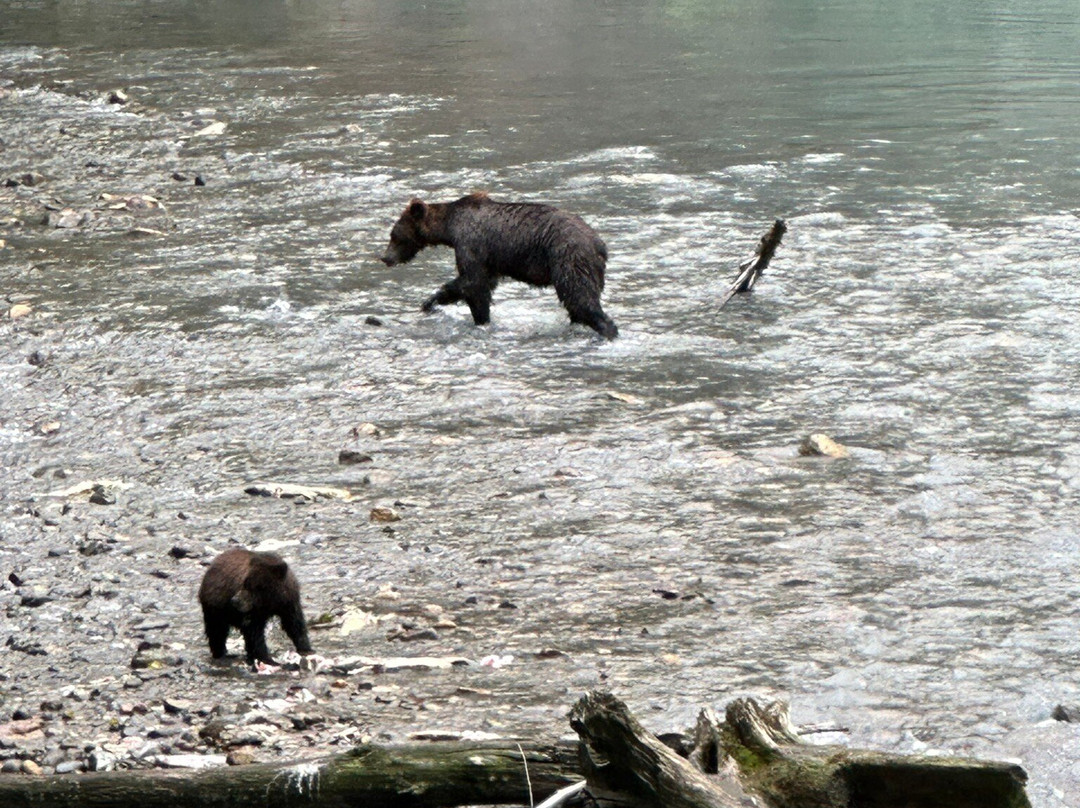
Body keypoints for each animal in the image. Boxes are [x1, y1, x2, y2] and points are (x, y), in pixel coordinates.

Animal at [380, 193, 618, 339]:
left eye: (394, 235)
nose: (385, 258)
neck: (450, 228)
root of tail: (599, 244)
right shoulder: (489, 261)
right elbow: (479, 282)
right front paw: (430, 302)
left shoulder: (471, 244)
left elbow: (473, 283)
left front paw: (481, 319)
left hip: (568, 258)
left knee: (579, 296)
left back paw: (608, 330)